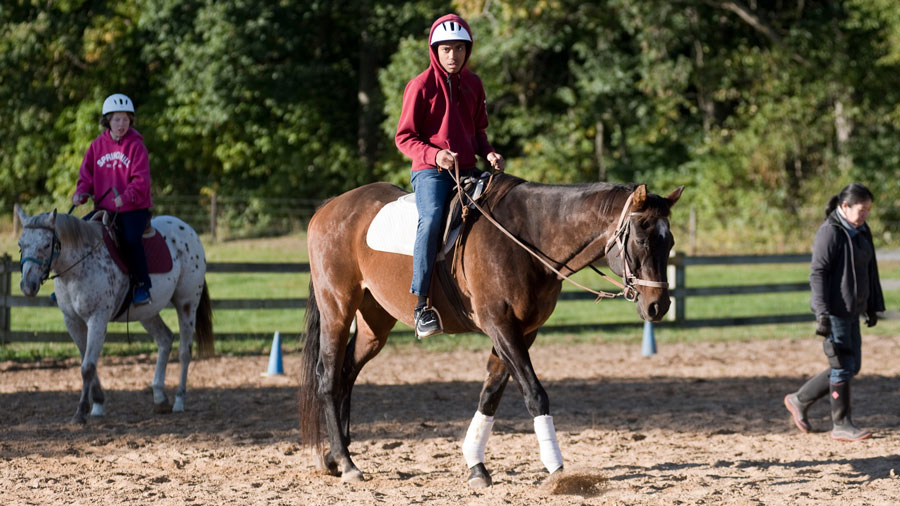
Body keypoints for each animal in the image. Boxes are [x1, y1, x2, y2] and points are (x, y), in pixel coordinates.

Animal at [16, 208, 214, 424]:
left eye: (46, 244)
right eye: (20, 245)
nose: (28, 286)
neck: (79, 265)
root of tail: (188, 229)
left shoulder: (97, 319)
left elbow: (88, 366)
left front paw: (81, 412)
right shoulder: (72, 321)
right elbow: (86, 360)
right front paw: (97, 404)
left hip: (187, 305)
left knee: (185, 351)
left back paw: (179, 401)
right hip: (147, 313)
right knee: (165, 338)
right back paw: (159, 397)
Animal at [298, 174, 684, 486]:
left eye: (670, 242)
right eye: (643, 241)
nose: (658, 306)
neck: (528, 237)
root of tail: (330, 207)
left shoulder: (521, 332)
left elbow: (491, 394)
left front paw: (476, 465)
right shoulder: (501, 326)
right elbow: (534, 394)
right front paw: (557, 469)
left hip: (374, 323)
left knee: (347, 373)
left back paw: (335, 455)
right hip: (337, 308)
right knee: (328, 376)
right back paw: (347, 463)